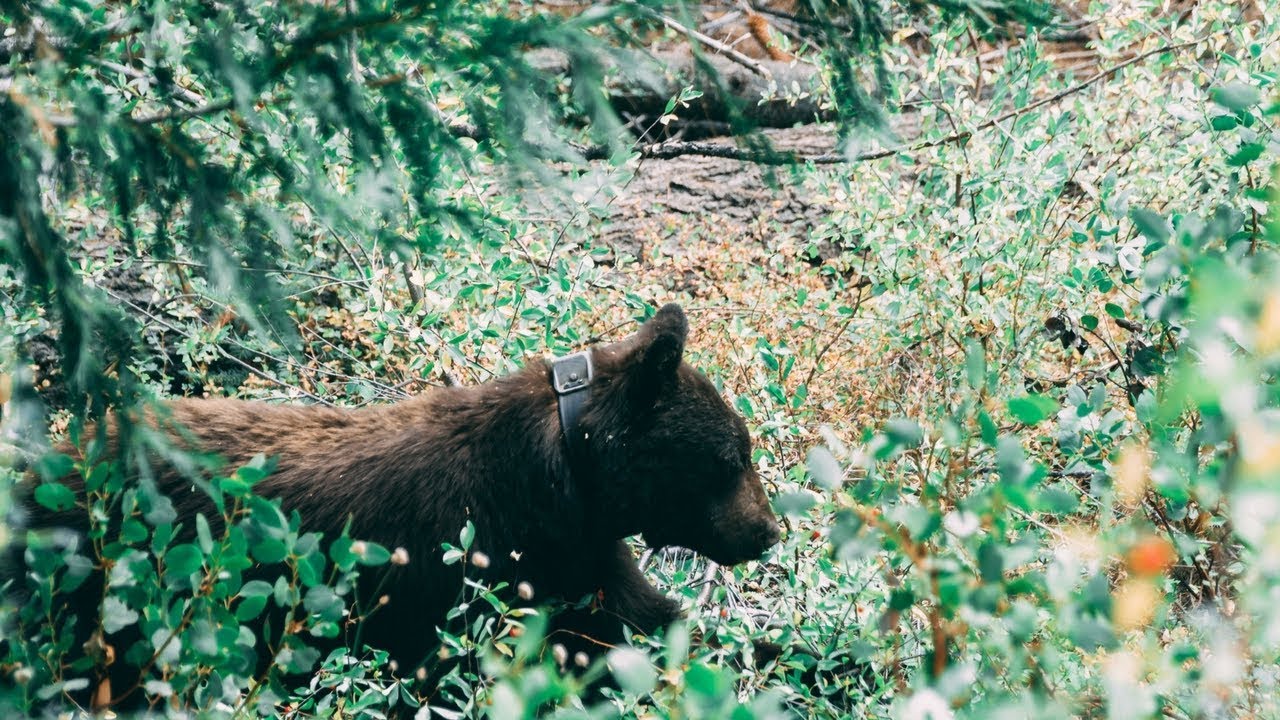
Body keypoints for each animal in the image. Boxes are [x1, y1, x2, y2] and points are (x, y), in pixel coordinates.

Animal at [3, 303, 782, 711]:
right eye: (732, 458)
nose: (769, 532)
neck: (573, 473)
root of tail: (48, 464)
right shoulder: (505, 559)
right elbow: (604, 639)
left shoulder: (583, 553)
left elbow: (648, 618)